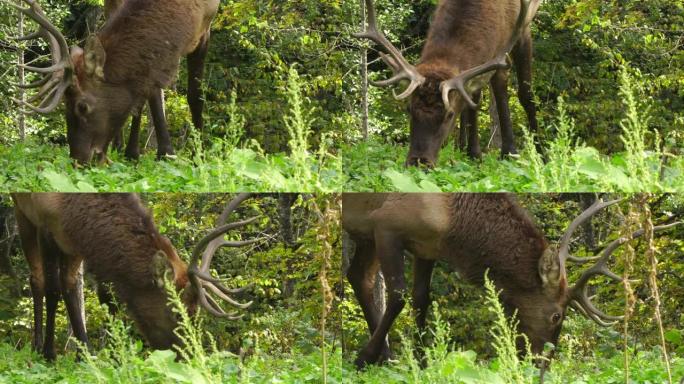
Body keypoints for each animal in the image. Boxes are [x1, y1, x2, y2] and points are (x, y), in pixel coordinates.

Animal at [5, 0, 216, 164]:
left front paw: (197, 155)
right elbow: (149, 92)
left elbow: (195, 95)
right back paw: (125, 150)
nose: (78, 160)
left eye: (82, 106)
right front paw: (162, 153)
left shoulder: (206, 26)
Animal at [13, 194, 260, 362]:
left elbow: (105, 299)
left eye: (195, 312)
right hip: (22, 213)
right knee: (37, 280)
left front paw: (109, 355)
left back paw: (83, 351)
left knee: (69, 284)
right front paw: (50, 353)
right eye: (176, 313)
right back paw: (38, 346)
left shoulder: (79, 243)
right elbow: (52, 290)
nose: (189, 357)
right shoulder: (45, 226)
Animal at [342, 195, 680, 368]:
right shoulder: (387, 224)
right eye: (556, 315)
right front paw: (364, 357)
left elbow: (421, 297)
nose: (542, 363)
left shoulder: (425, 246)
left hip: (363, 233)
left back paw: (387, 354)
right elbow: (399, 295)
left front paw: (423, 360)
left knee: (358, 276)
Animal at [358, 0, 540, 166]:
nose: (419, 162)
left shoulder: (518, 33)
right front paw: (474, 154)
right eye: (409, 109)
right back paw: (463, 148)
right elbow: (472, 100)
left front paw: (516, 153)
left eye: (449, 114)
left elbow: (522, 93)